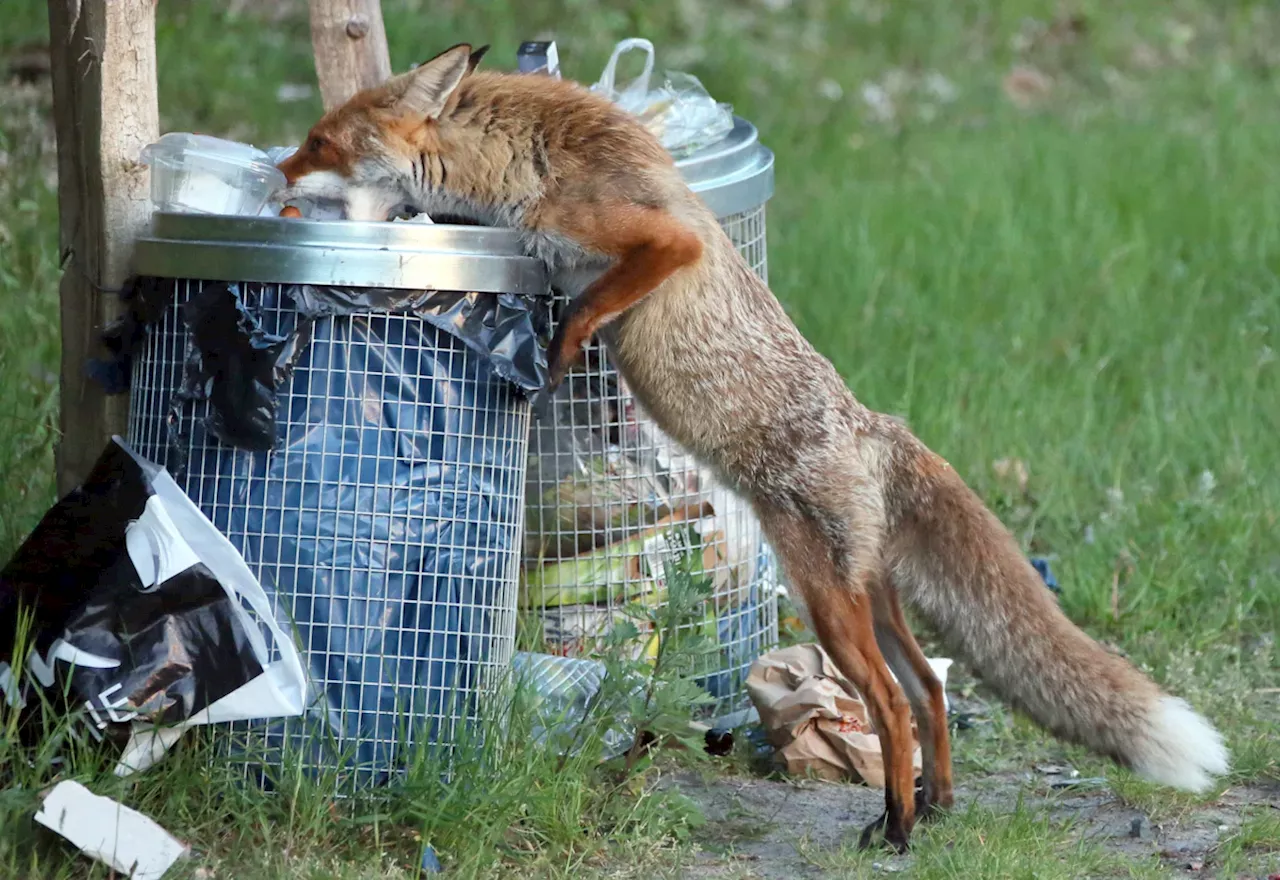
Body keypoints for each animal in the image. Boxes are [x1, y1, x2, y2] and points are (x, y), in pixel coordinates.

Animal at [277, 44, 1228, 849]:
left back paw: (896, 828)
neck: (532, 164)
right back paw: (937, 804)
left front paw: (556, 360)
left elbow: (587, 308)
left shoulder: (656, 240)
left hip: (827, 602)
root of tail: (876, 427)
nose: (272, 177)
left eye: (319, 140)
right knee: (928, 688)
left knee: (890, 701)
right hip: (869, 595)